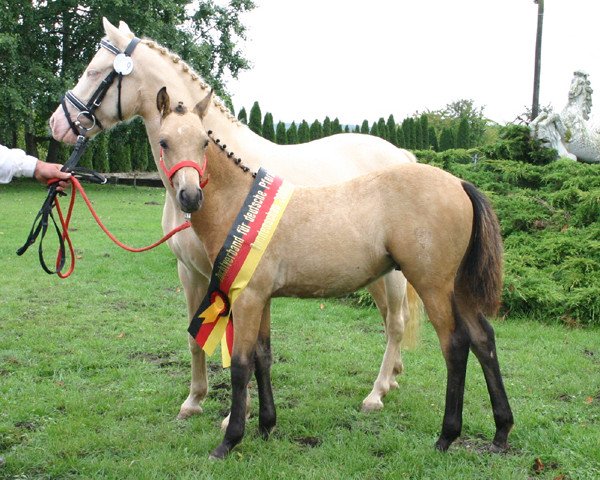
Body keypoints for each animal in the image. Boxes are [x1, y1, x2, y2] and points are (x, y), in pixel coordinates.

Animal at [48, 16, 422, 418]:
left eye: (93, 71)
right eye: (166, 141)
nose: (57, 123)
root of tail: (401, 155)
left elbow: (238, 347)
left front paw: (235, 413)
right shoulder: (191, 272)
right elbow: (196, 338)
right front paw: (194, 400)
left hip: (394, 275)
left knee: (396, 323)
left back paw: (377, 392)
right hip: (373, 273)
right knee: (389, 319)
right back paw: (393, 377)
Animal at [157, 88, 512, 460]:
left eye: (203, 142)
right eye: (164, 142)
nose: (190, 196)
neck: (240, 204)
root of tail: (459, 183)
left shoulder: (247, 298)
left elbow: (241, 364)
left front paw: (229, 440)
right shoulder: (262, 298)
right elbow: (262, 357)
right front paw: (267, 426)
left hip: (433, 286)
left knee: (455, 345)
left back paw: (446, 435)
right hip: (458, 288)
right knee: (483, 338)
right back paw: (501, 431)